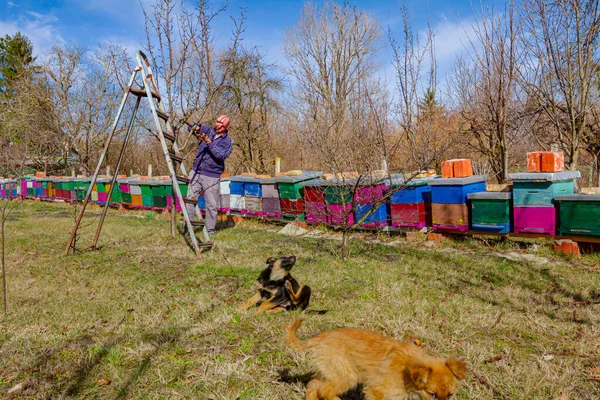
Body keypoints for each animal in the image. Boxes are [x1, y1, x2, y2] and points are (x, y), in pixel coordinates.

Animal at [284, 318, 466, 400]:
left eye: (450, 395)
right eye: (432, 394)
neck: (407, 374)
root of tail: (321, 337)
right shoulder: (376, 391)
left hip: (330, 371)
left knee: (313, 386)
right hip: (347, 376)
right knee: (325, 390)